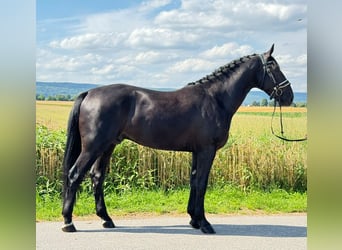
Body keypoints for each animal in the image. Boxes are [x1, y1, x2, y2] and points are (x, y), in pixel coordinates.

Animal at [61, 44, 294, 233]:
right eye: (273, 66)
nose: (289, 96)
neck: (215, 99)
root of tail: (89, 93)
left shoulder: (197, 151)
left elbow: (194, 181)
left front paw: (194, 219)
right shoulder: (207, 150)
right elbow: (201, 183)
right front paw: (205, 223)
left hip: (107, 146)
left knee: (97, 177)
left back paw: (106, 219)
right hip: (93, 147)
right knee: (74, 175)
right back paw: (68, 222)